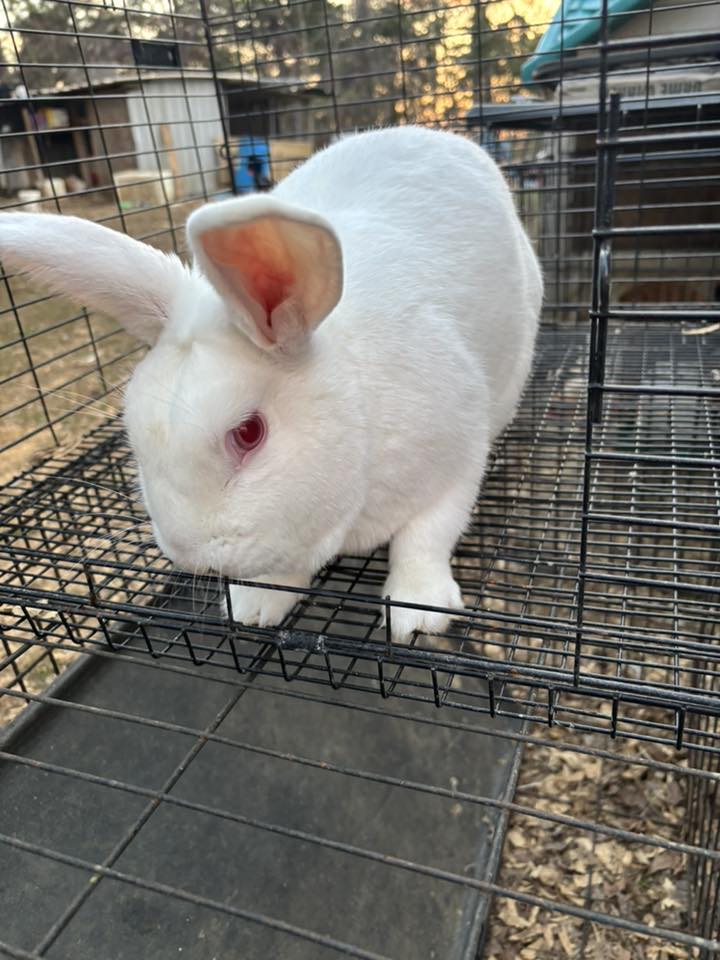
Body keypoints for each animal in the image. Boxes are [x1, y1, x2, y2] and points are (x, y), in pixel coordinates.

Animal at [0, 126, 542, 639]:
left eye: (248, 433)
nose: (186, 553)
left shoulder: (457, 457)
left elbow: (424, 539)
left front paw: (419, 615)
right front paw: (254, 608)